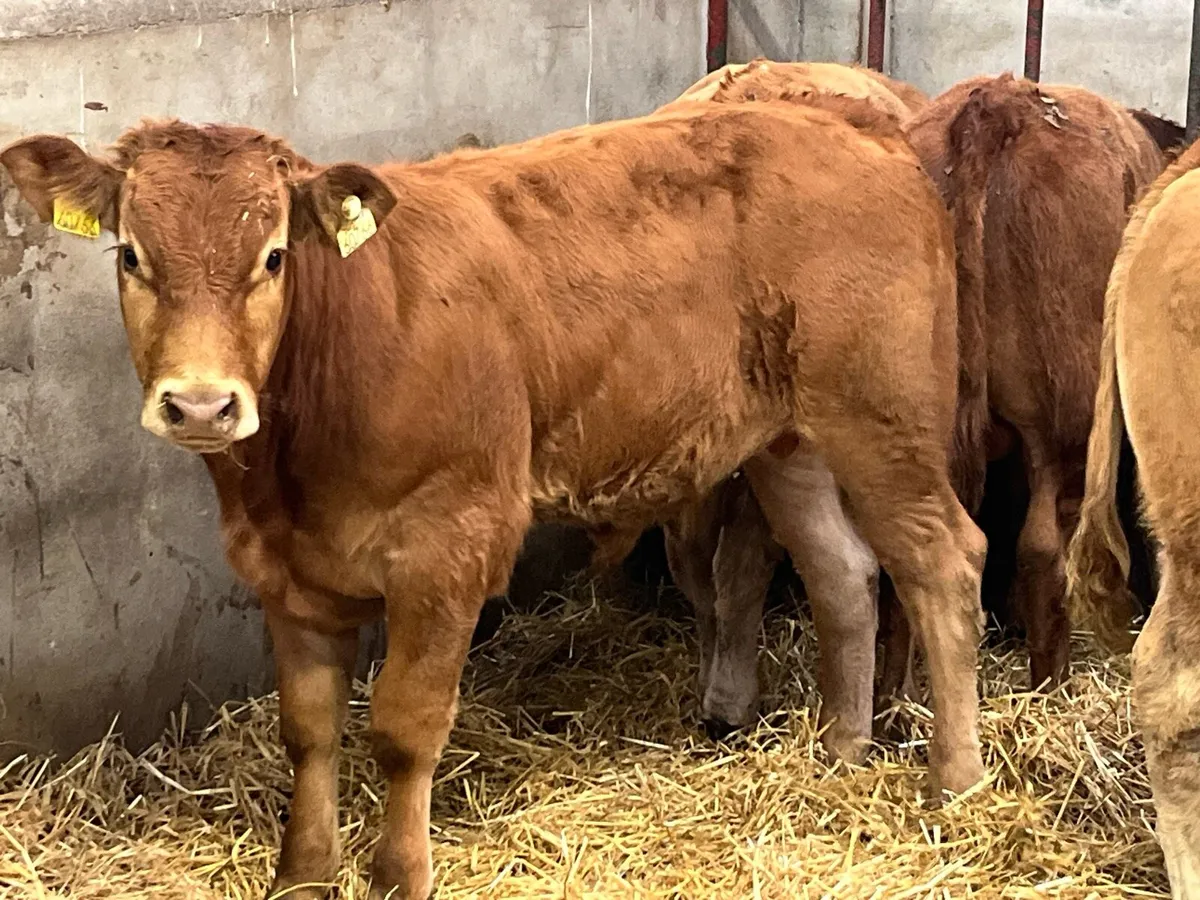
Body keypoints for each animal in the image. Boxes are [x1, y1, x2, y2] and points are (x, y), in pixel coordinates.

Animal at [1, 98, 983, 899]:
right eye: (132, 256)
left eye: (274, 256)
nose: (202, 404)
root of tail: (866, 134)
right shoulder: (284, 569)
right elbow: (308, 729)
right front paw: (303, 875)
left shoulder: (451, 543)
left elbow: (403, 726)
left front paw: (398, 877)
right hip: (792, 441)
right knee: (842, 575)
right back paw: (842, 754)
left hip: (885, 415)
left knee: (943, 561)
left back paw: (955, 779)